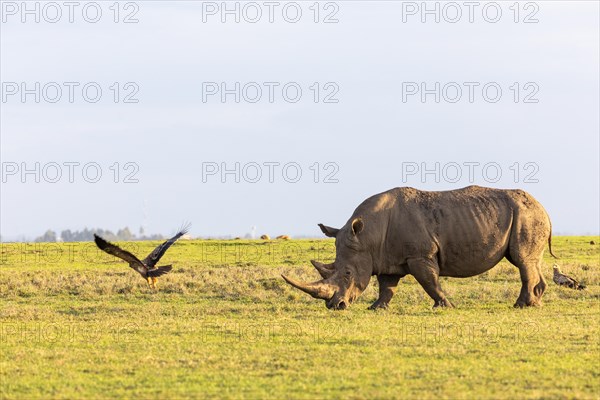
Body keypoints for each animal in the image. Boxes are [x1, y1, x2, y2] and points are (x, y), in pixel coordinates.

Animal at [284, 186, 556, 310]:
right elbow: (387, 286)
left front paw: (444, 306)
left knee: (522, 260)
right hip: (525, 214)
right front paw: (377, 308)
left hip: (526, 214)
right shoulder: (385, 257)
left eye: (348, 273)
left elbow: (429, 281)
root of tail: (542, 206)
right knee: (528, 261)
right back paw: (535, 302)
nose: (335, 306)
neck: (367, 237)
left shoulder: (420, 255)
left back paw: (522, 305)